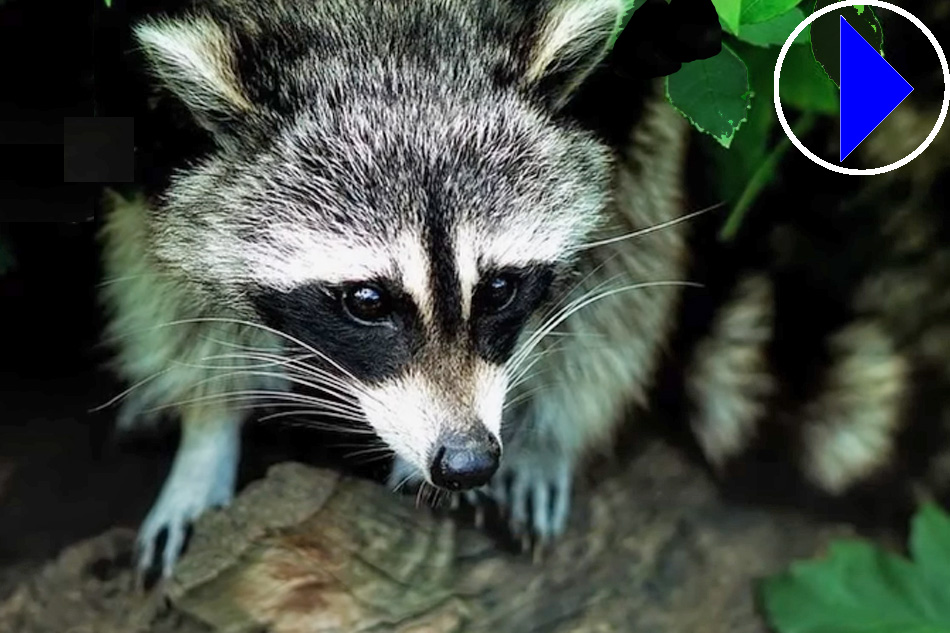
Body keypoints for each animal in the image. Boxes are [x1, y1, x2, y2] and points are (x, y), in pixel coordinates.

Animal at [102, 0, 692, 576]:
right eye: (368, 302)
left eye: (500, 288)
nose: (468, 461)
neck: (384, 32)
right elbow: (171, 275)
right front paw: (207, 434)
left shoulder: (631, 89)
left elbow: (617, 262)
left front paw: (543, 438)